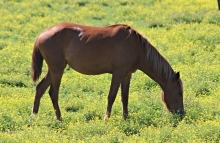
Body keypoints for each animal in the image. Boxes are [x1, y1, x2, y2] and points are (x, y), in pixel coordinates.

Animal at [31, 22, 185, 120]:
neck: (136, 46)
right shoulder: (118, 73)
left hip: (54, 69)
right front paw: (107, 118)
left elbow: (125, 97)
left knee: (40, 88)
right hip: (57, 69)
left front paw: (126, 118)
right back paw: (59, 118)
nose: (182, 114)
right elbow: (112, 96)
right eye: (179, 93)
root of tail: (41, 35)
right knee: (53, 93)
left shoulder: (127, 75)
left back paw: (34, 116)